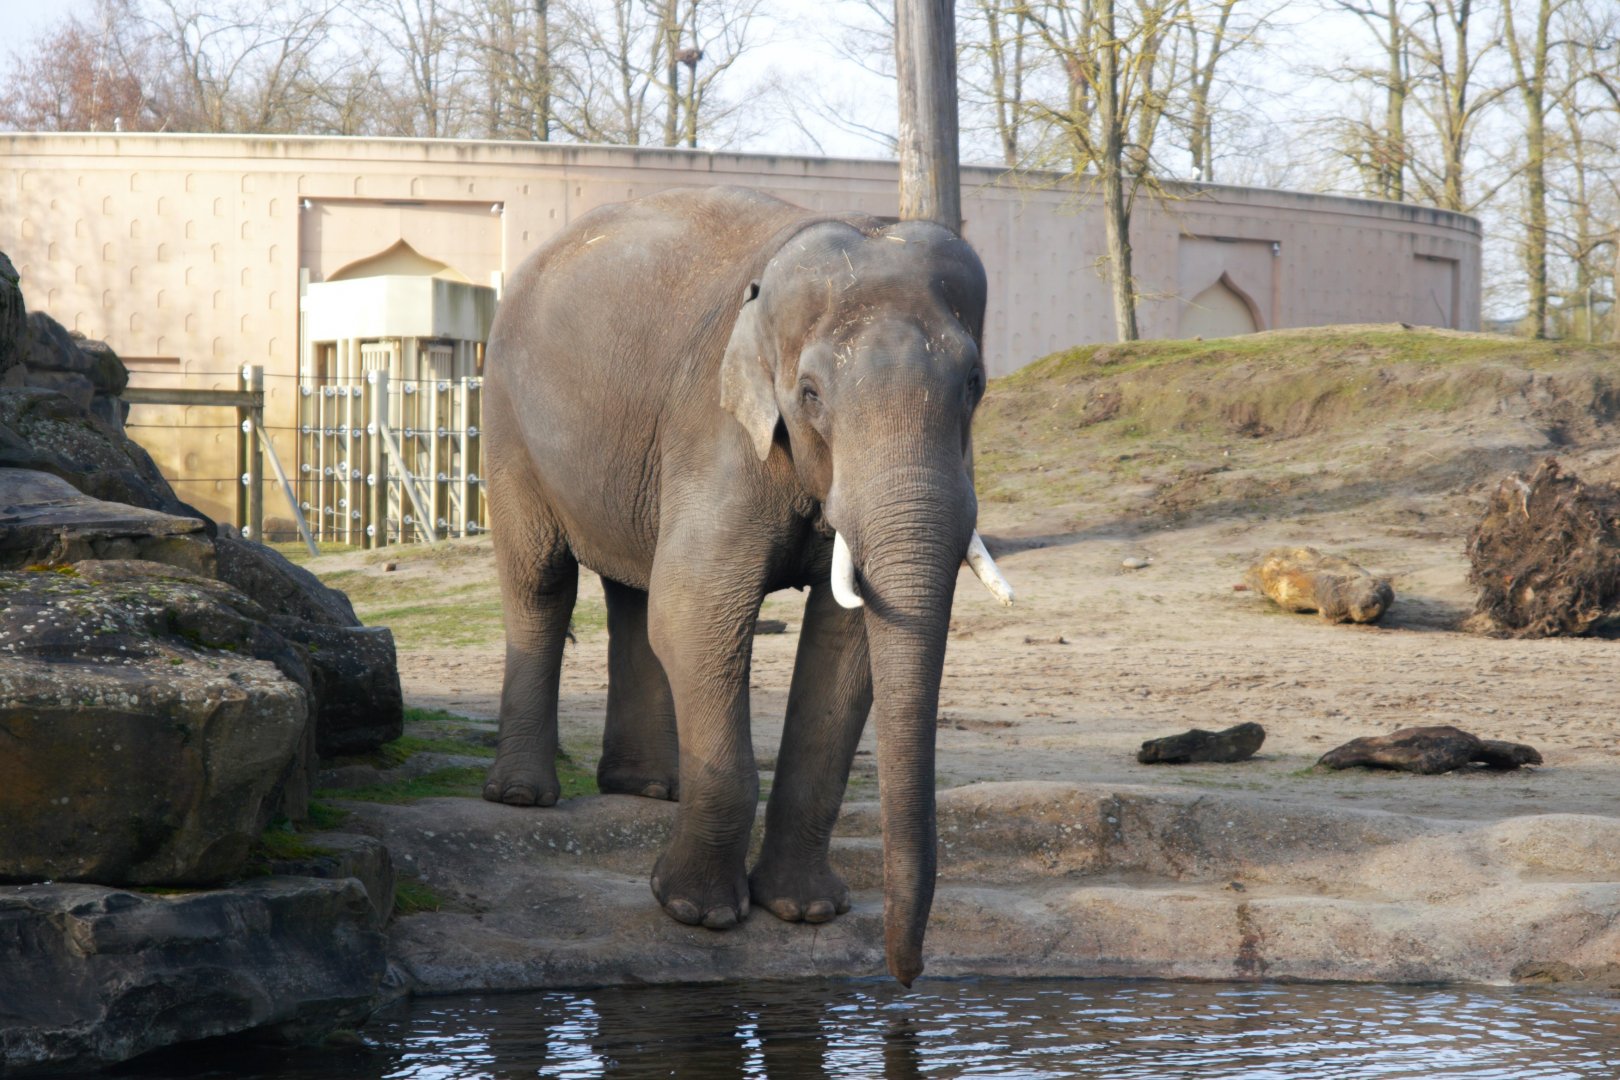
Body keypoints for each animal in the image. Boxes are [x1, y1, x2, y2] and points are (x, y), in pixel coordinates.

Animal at [479, 185, 1012, 985]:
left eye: (975, 385)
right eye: (811, 393)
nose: (906, 976)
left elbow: (846, 644)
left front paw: (806, 912)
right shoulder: (719, 429)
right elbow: (698, 613)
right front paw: (697, 914)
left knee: (635, 593)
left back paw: (648, 788)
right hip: (507, 416)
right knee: (542, 580)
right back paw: (521, 796)